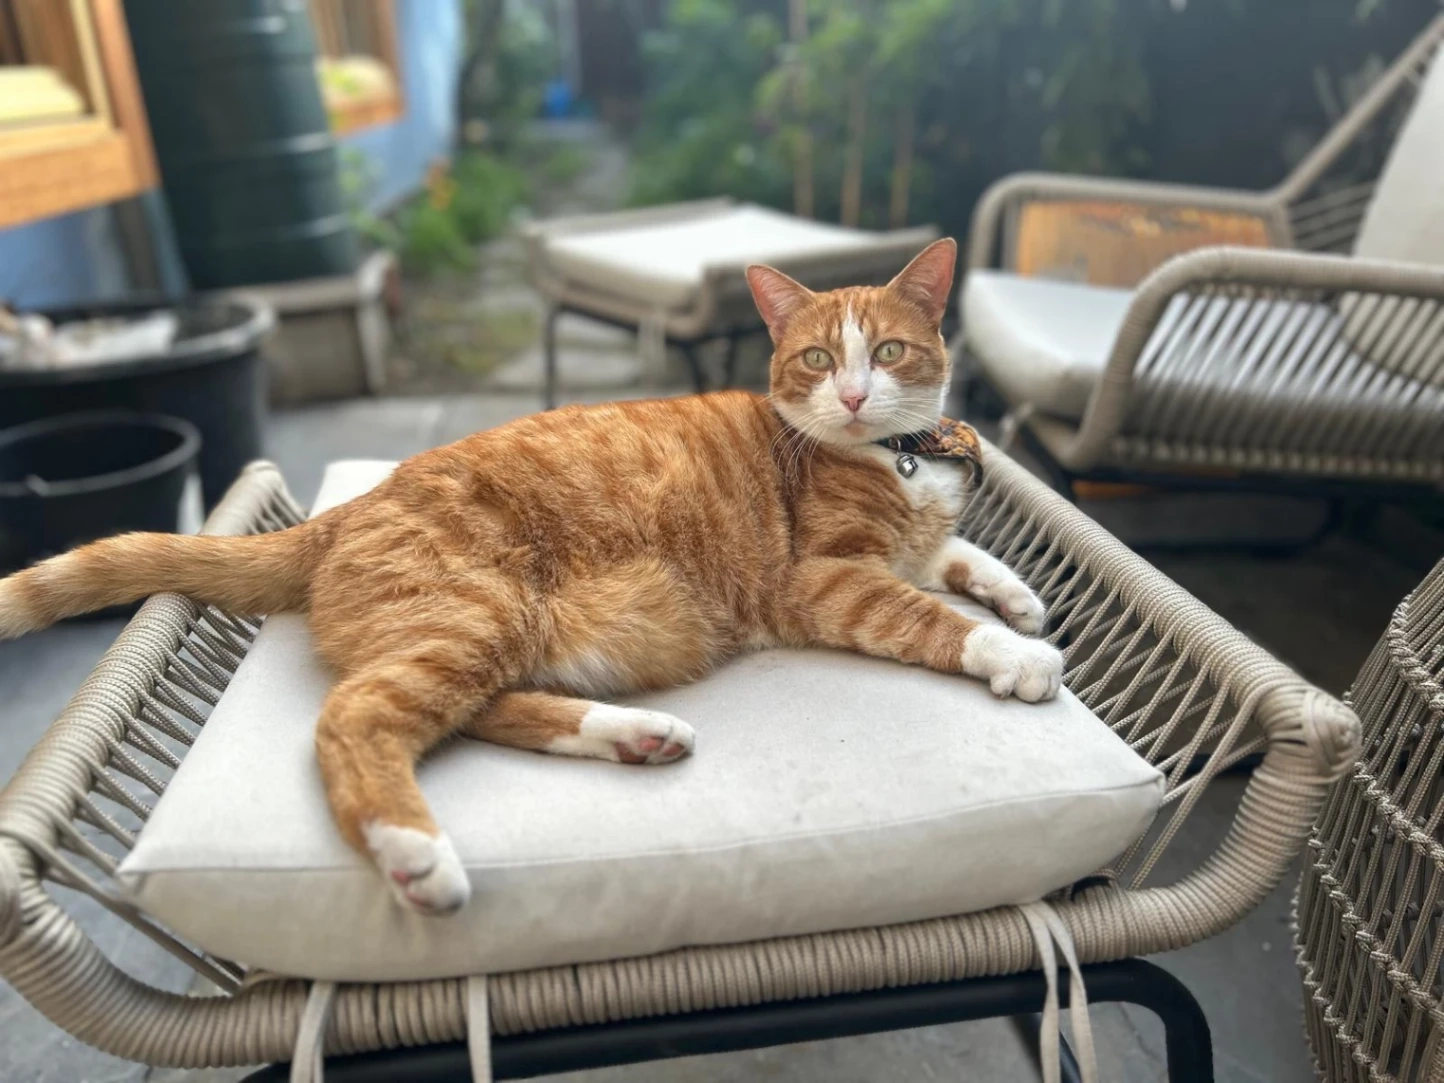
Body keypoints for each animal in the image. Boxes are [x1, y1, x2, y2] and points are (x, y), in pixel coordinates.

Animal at [0, 237, 1062, 916]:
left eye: (887, 351)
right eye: (810, 358)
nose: (848, 395)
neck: (894, 455)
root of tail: (341, 509)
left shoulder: (920, 535)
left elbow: (959, 553)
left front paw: (1017, 593)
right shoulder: (824, 579)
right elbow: (924, 609)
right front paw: (1013, 650)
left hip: (510, 637)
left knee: (483, 709)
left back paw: (631, 734)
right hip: (476, 614)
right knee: (358, 716)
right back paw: (416, 852)